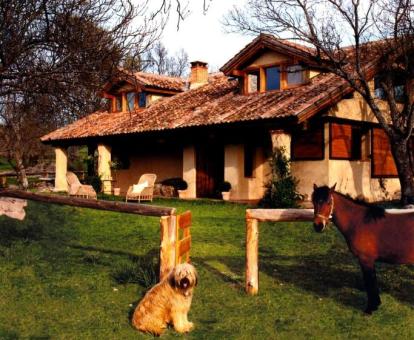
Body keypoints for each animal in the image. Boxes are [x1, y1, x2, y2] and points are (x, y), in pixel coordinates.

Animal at [312, 183, 414, 314]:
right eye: (314, 201)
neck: (359, 222)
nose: (318, 225)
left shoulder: (366, 259)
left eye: (329, 201)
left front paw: (371, 308)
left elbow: (370, 282)